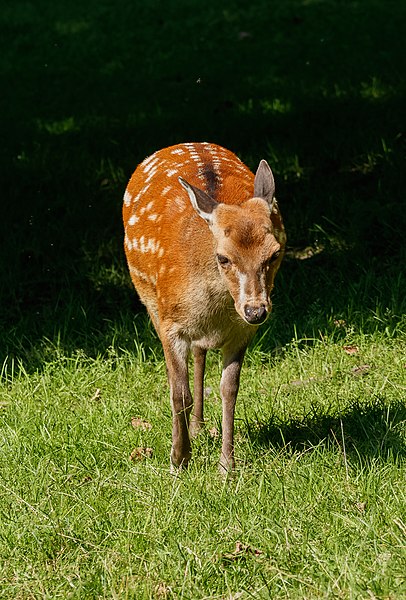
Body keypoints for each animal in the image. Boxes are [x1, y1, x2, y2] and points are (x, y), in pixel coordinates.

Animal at [123, 142, 286, 474]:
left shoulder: (240, 332)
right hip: (151, 302)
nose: (256, 311)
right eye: (223, 257)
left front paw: (226, 465)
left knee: (200, 352)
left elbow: (229, 389)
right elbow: (178, 393)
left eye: (274, 253)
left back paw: (199, 425)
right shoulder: (171, 323)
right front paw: (179, 459)